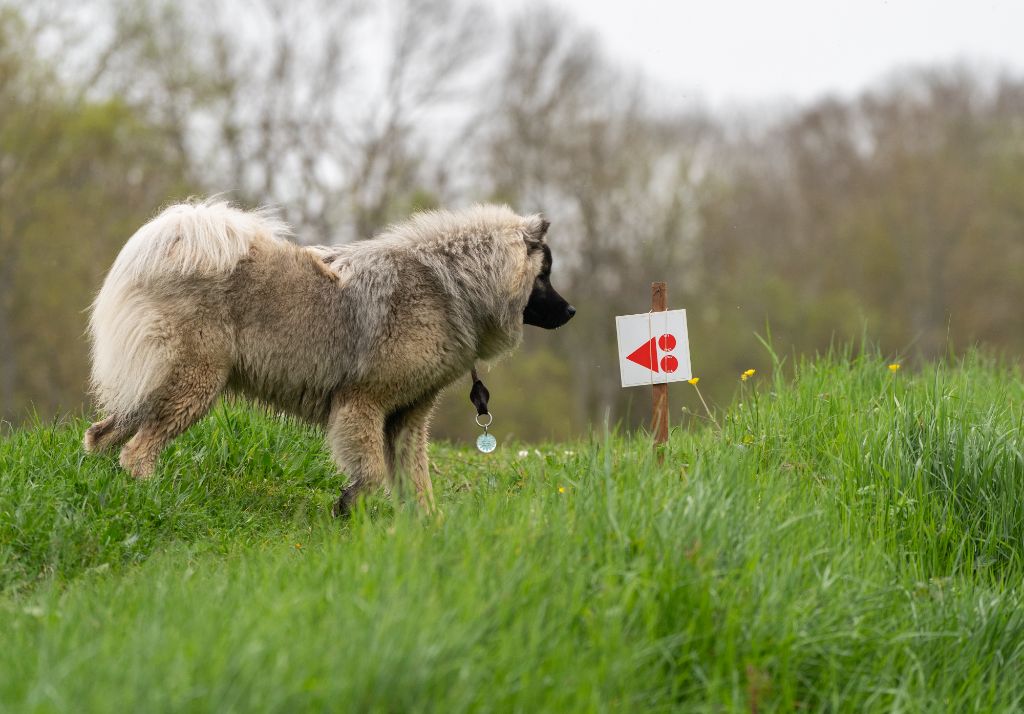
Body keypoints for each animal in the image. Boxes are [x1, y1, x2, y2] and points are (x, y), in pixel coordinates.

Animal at [81, 200, 577, 512]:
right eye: (545, 275)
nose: (572, 311)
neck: (451, 286)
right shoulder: (361, 405)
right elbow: (372, 473)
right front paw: (347, 504)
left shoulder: (408, 419)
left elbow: (417, 484)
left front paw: (426, 528)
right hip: (193, 385)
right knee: (136, 451)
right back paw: (150, 492)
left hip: (154, 389)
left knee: (102, 436)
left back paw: (104, 487)